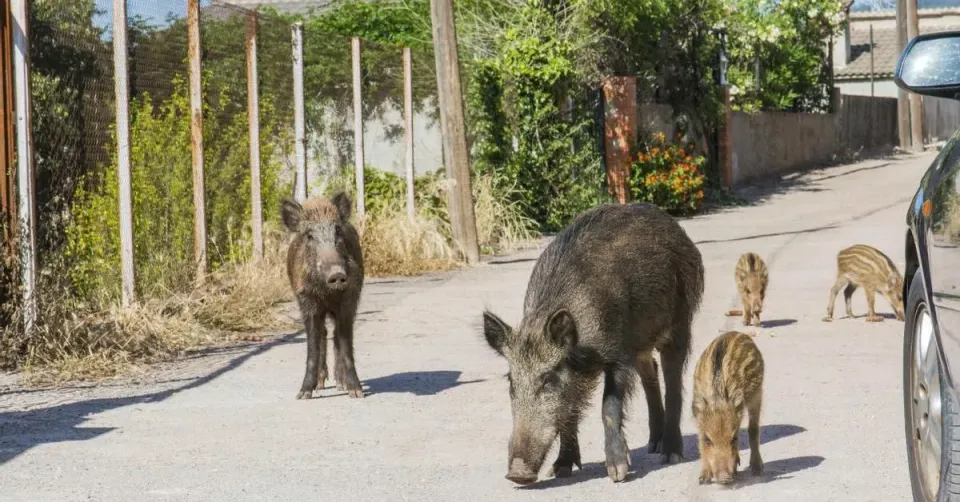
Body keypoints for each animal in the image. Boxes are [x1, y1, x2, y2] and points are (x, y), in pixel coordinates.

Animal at [280, 192, 365, 400]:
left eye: (337, 231)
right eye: (309, 235)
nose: (337, 274)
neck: (327, 293)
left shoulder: (349, 302)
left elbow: (345, 345)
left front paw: (356, 393)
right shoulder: (307, 303)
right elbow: (312, 345)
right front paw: (303, 394)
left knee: (334, 335)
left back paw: (340, 385)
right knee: (323, 335)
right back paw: (320, 385)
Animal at [482, 202, 705, 485]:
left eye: (548, 379)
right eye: (511, 381)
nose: (517, 474)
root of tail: (673, 225)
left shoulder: (618, 353)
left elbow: (608, 406)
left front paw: (618, 474)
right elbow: (570, 410)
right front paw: (560, 470)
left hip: (680, 320)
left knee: (673, 381)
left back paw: (670, 454)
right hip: (641, 342)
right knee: (650, 372)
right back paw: (652, 445)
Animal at [691, 331, 765, 485]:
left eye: (734, 439)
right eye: (708, 440)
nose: (724, 478)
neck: (717, 398)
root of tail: (739, 333)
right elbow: (700, 442)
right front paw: (703, 479)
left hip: (757, 394)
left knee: (753, 429)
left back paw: (757, 469)